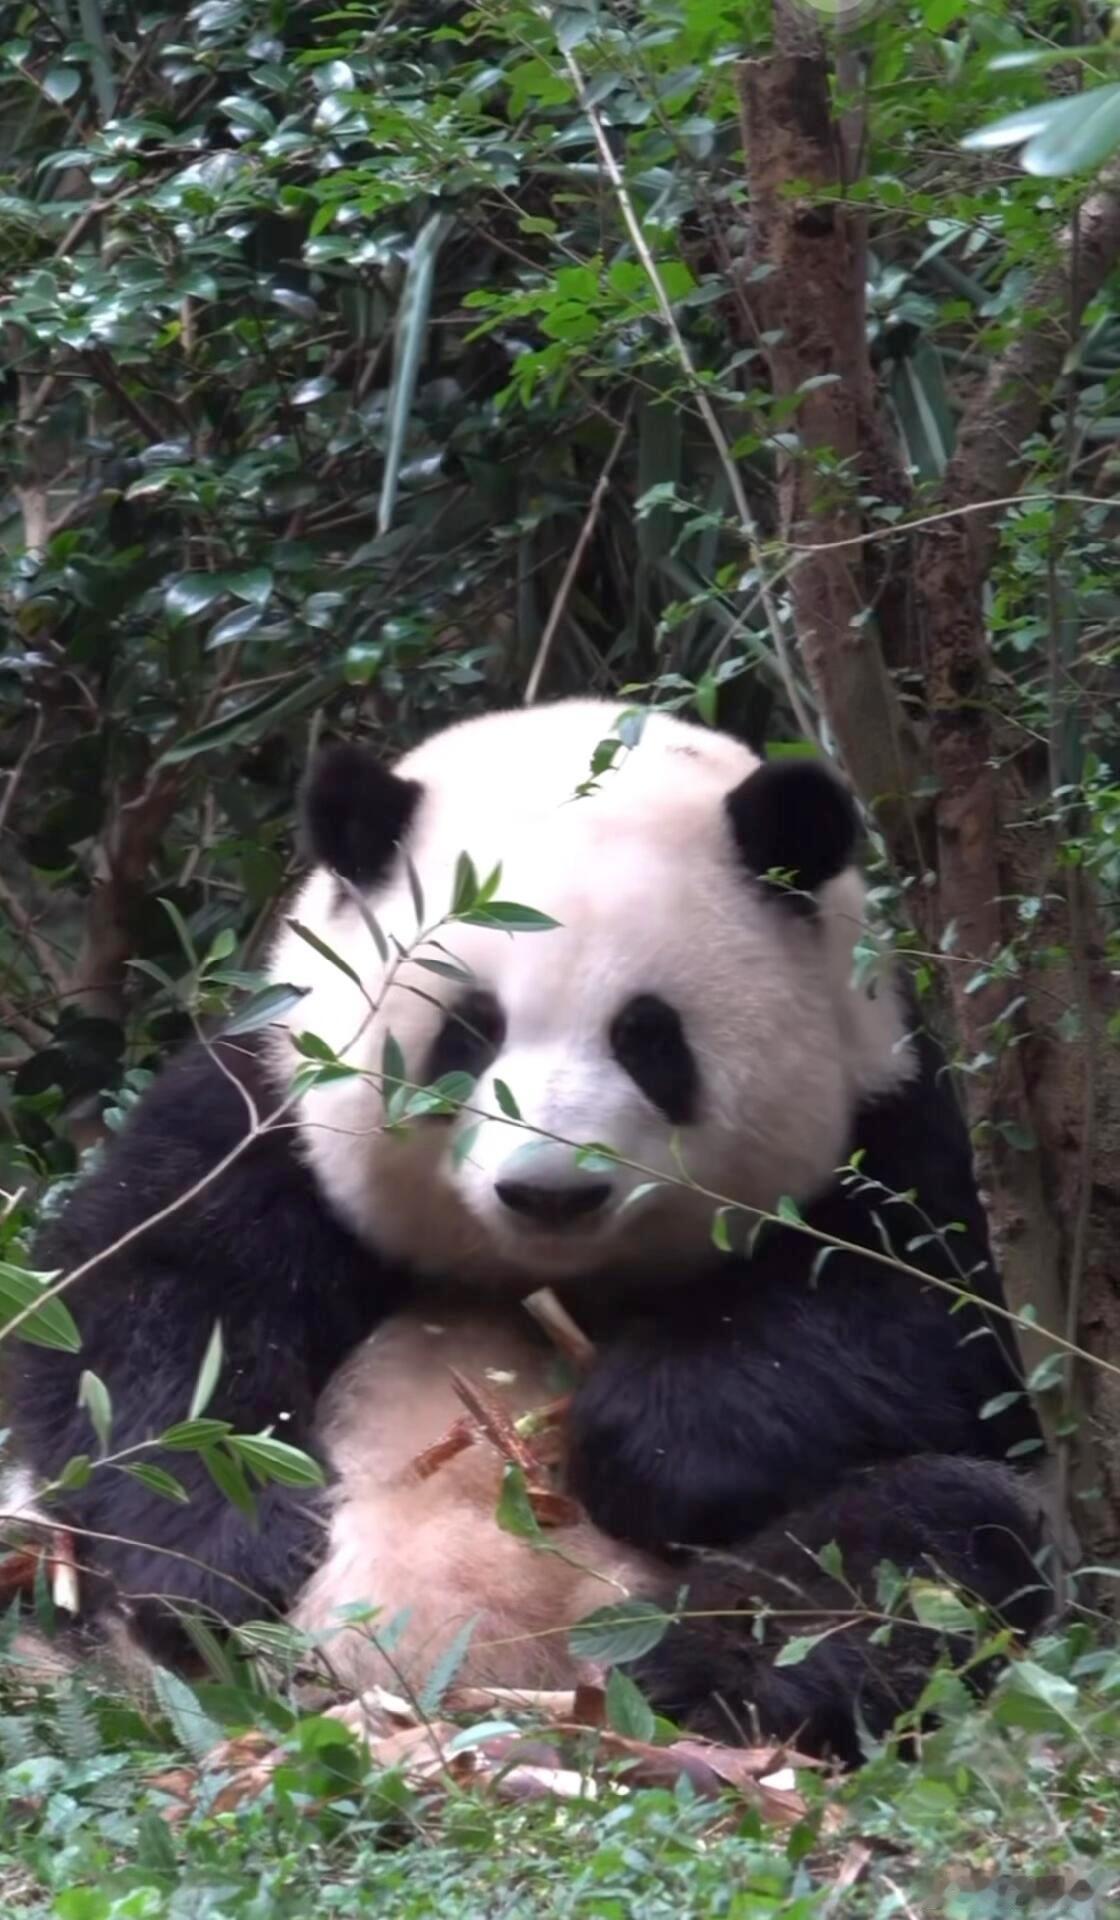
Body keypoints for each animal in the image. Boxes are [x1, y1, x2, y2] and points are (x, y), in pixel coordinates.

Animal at [4, 702, 1045, 1758]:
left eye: (647, 1037)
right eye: (471, 1031)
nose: (549, 1194)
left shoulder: (889, 1127)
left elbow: (937, 1331)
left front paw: (645, 1438)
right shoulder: (270, 1108)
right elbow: (139, 1308)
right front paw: (224, 1557)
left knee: (921, 1541)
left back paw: (699, 1679)